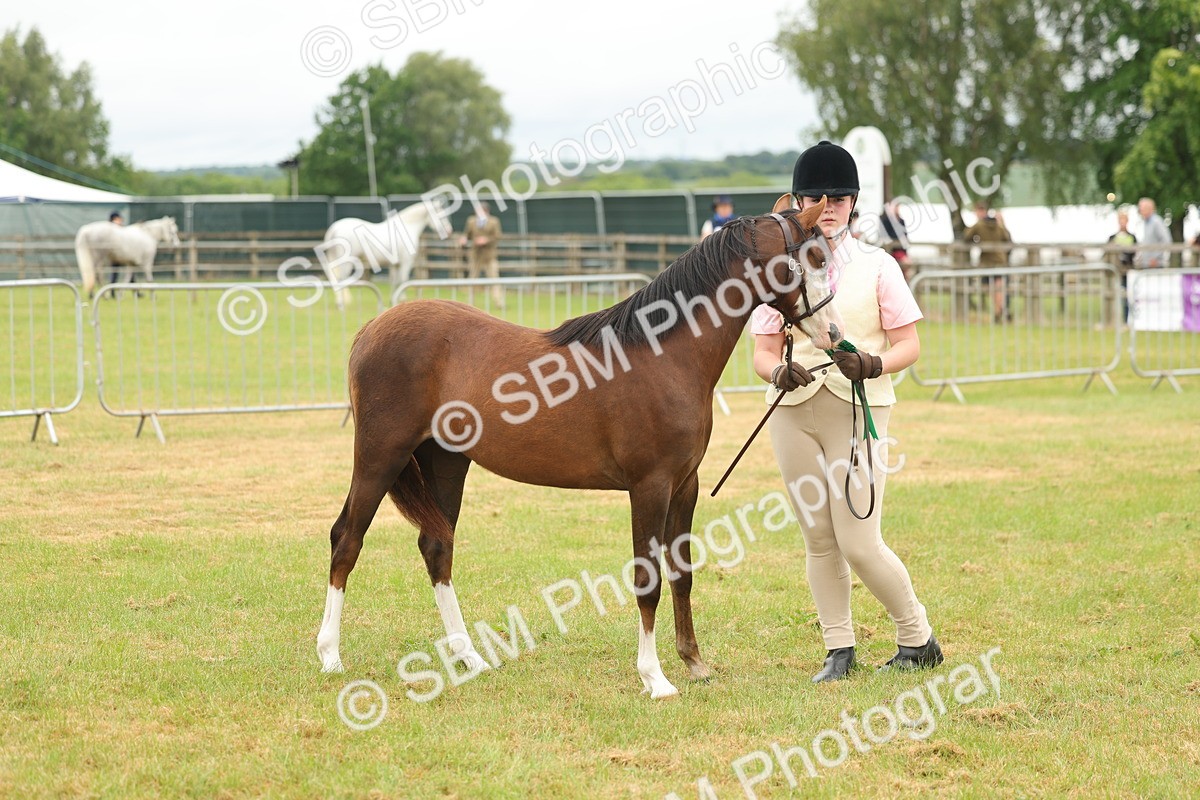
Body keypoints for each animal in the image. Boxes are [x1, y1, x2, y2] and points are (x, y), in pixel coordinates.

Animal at [316, 196, 843, 699]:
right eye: (813, 258)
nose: (835, 334)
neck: (663, 355)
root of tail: (370, 329)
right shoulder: (649, 487)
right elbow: (647, 580)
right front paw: (654, 678)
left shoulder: (685, 485)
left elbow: (682, 572)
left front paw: (694, 663)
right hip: (379, 458)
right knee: (347, 540)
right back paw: (330, 656)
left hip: (445, 462)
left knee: (436, 546)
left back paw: (469, 658)